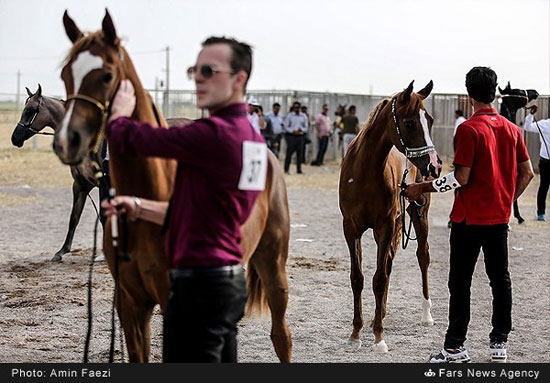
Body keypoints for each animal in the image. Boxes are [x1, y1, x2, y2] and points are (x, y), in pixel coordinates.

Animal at [52, 9, 294, 364]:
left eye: (107, 75)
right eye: (66, 74)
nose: (67, 141)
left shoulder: (179, 306)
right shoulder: (131, 304)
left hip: (273, 264)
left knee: (281, 336)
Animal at [340, 82, 444, 354]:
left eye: (429, 120)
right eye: (409, 122)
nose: (435, 165)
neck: (365, 172)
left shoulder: (384, 226)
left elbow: (379, 278)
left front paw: (379, 337)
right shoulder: (351, 228)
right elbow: (358, 277)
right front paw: (356, 333)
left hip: (417, 213)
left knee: (422, 256)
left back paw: (426, 314)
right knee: (388, 263)